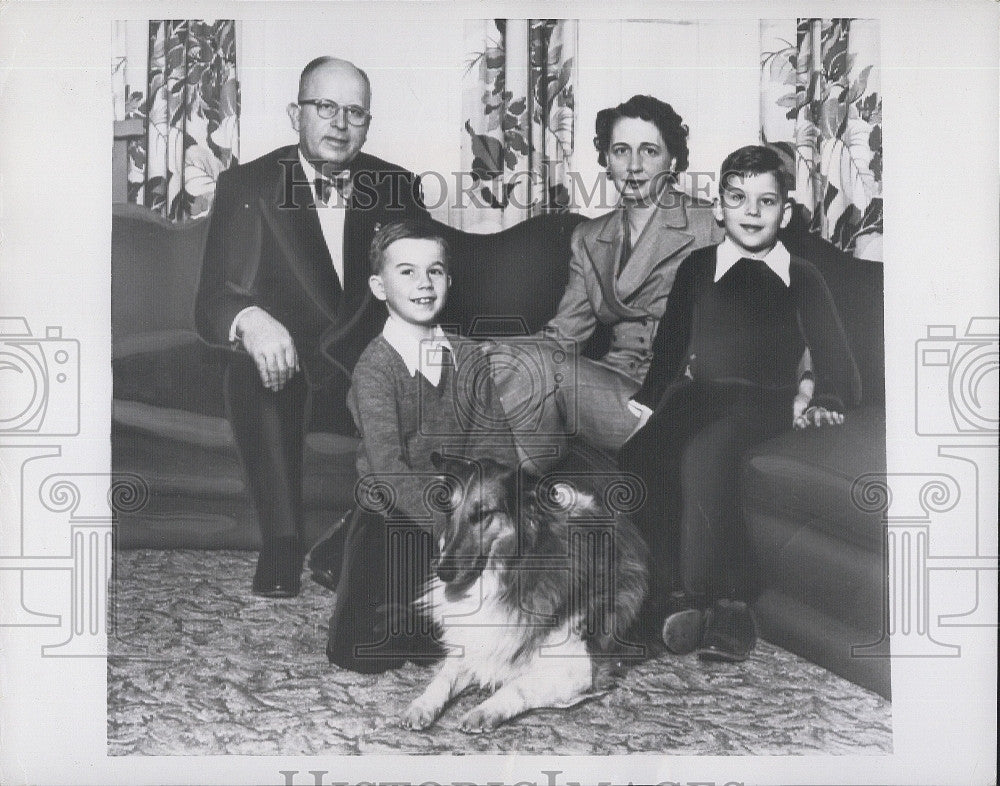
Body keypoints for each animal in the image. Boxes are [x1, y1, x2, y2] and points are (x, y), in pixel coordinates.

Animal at [400, 450, 648, 732]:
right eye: (450, 511)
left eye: (482, 514)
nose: (443, 572)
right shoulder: (476, 642)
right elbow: (444, 677)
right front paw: (420, 706)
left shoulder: (579, 667)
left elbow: (516, 686)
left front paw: (482, 712)